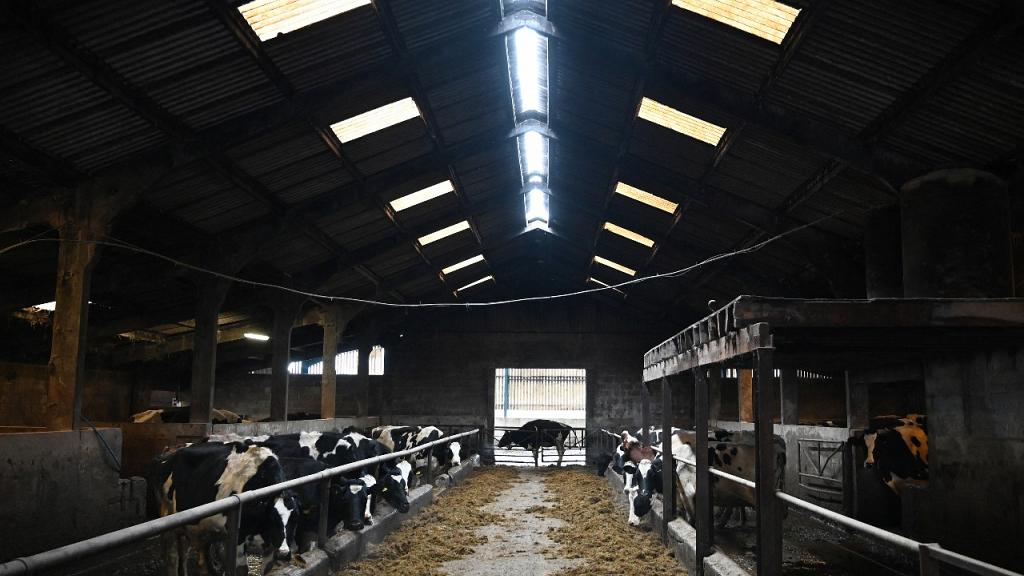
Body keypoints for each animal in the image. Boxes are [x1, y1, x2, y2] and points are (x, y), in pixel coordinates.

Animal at [148, 440, 299, 569]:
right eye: (273, 519)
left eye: (294, 520)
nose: (284, 553)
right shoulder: (238, 534)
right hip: (169, 519)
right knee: (172, 556)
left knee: (184, 554)